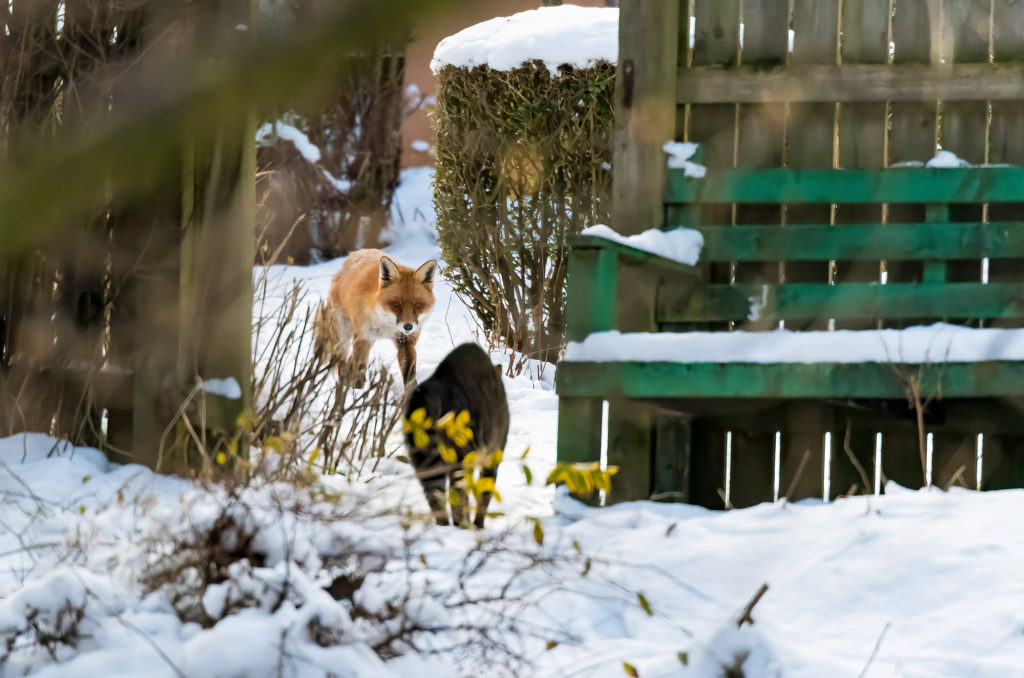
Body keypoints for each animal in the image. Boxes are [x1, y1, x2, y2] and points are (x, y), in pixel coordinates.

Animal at [315, 250, 436, 387]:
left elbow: (409, 379)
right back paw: (344, 383)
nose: (408, 326)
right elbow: (358, 372)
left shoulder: (406, 341)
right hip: (343, 334)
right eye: (396, 304)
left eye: (418, 305)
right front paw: (356, 389)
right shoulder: (363, 338)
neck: (386, 324)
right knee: (341, 361)